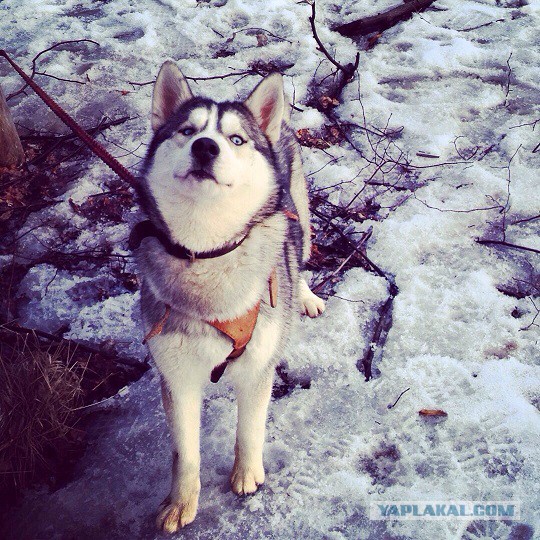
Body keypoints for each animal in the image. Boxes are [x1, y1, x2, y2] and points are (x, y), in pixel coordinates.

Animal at [133, 60, 324, 532]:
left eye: (236, 139)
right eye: (187, 131)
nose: (205, 147)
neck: (207, 250)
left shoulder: (258, 365)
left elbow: (249, 429)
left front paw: (247, 474)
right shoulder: (176, 372)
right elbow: (184, 452)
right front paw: (181, 502)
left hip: (299, 211)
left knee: (299, 250)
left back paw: (305, 296)